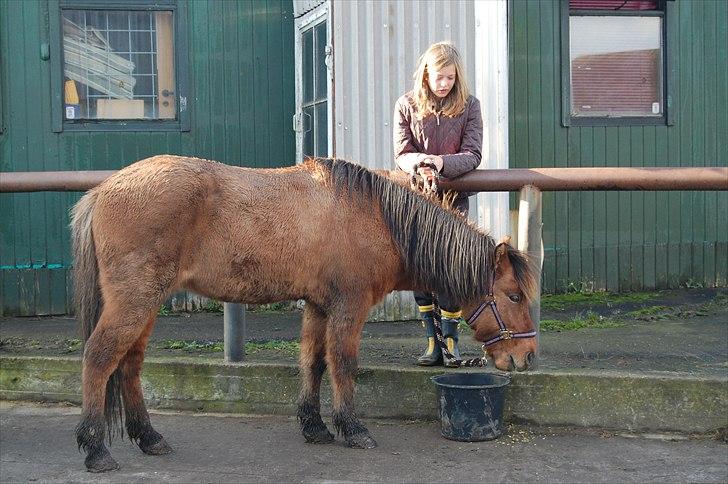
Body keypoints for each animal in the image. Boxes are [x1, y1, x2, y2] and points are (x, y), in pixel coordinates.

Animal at [69, 156, 536, 472]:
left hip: (144, 306)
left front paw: (314, 427)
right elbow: (342, 364)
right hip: (135, 302)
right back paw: (96, 449)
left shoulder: (318, 306)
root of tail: (103, 190)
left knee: (128, 366)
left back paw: (149, 438)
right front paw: (353, 429)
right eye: (513, 295)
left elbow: (313, 363)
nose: (527, 357)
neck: (377, 216)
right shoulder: (349, 306)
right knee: (99, 359)